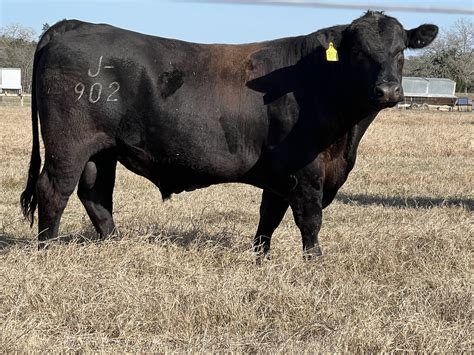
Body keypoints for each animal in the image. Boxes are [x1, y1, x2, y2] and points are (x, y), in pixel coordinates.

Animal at [21, 11, 436, 258]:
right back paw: (47, 251)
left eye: (401, 51)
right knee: (54, 190)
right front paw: (314, 262)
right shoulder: (305, 169)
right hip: (69, 144)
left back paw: (116, 245)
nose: (388, 91)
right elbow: (310, 218)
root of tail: (73, 24)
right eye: (359, 52)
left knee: (96, 195)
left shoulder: (280, 172)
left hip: (102, 149)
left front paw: (260, 257)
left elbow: (269, 216)